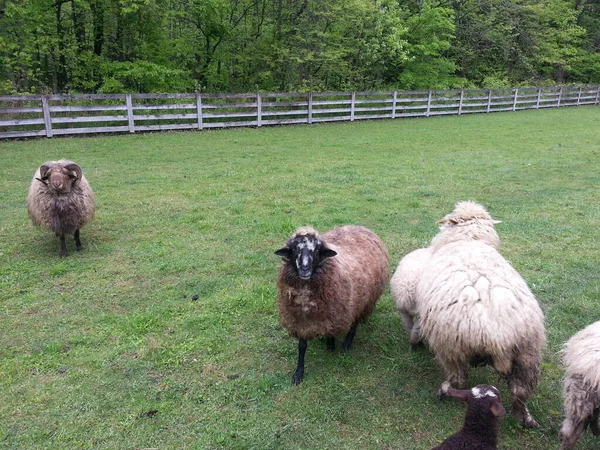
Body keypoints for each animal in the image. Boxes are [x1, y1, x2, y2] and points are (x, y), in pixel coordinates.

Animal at [276, 225, 390, 384]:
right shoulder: (300, 320)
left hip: (360, 301)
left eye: (317, 250)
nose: (304, 269)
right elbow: (302, 346)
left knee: (354, 323)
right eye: (293, 250)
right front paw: (298, 374)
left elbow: (330, 331)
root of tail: (360, 227)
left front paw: (331, 345)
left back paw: (347, 343)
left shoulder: (333, 312)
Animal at [414, 201, 548, 428]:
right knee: (520, 391)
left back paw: (443, 390)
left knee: (458, 378)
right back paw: (525, 419)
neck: (469, 240)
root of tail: (498, 334)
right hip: (528, 352)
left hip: (450, 345)